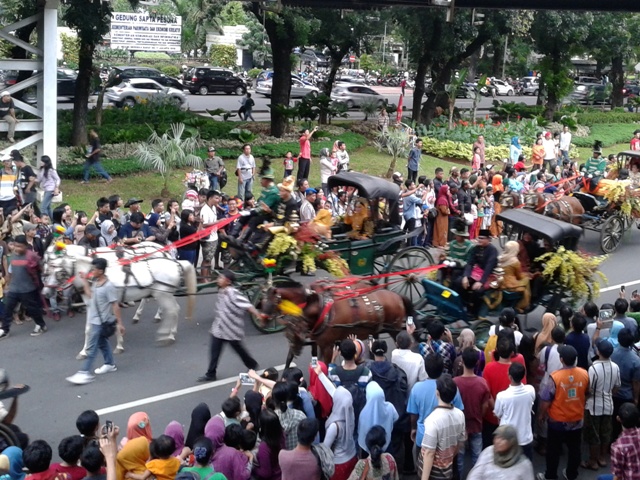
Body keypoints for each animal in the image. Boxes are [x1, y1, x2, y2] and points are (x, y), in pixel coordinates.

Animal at [42, 248, 195, 348]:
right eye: (47, 271)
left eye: (57, 272)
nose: (45, 293)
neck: (93, 276)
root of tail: (176, 263)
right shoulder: (93, 305)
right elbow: (90, 328)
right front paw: (85, 350)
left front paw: (118, 344)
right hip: (164, 294)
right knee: (174, 309)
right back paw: (170, 331)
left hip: (163, 294)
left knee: (172, 310)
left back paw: (166, 335)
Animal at [262, 280, 416, 366]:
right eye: (262, 299)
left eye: (270, 301)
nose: (262, 319)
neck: (321, 307)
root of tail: (397, 296)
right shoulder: (320, 343)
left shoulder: (328, 346)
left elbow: (326, 365)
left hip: (394, 329)